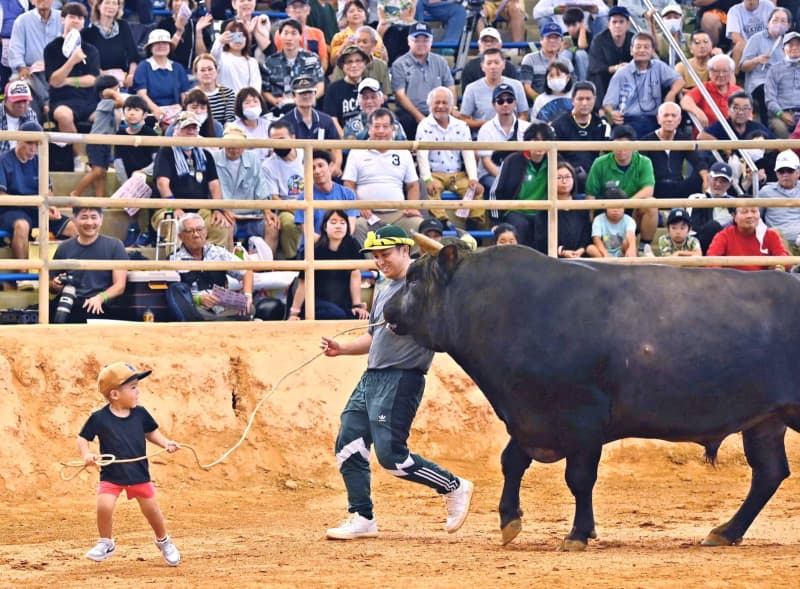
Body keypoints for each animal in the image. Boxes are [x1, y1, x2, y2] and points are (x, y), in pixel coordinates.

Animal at [380, 241, 800, 548]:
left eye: (414, 280)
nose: (387, 309)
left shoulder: (582, 417)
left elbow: (579, 478)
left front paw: (578, 533)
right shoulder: (531, 418)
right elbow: (511, 462)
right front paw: (509, 519)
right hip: (766, 420)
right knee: (768, 473)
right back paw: (725, 532)